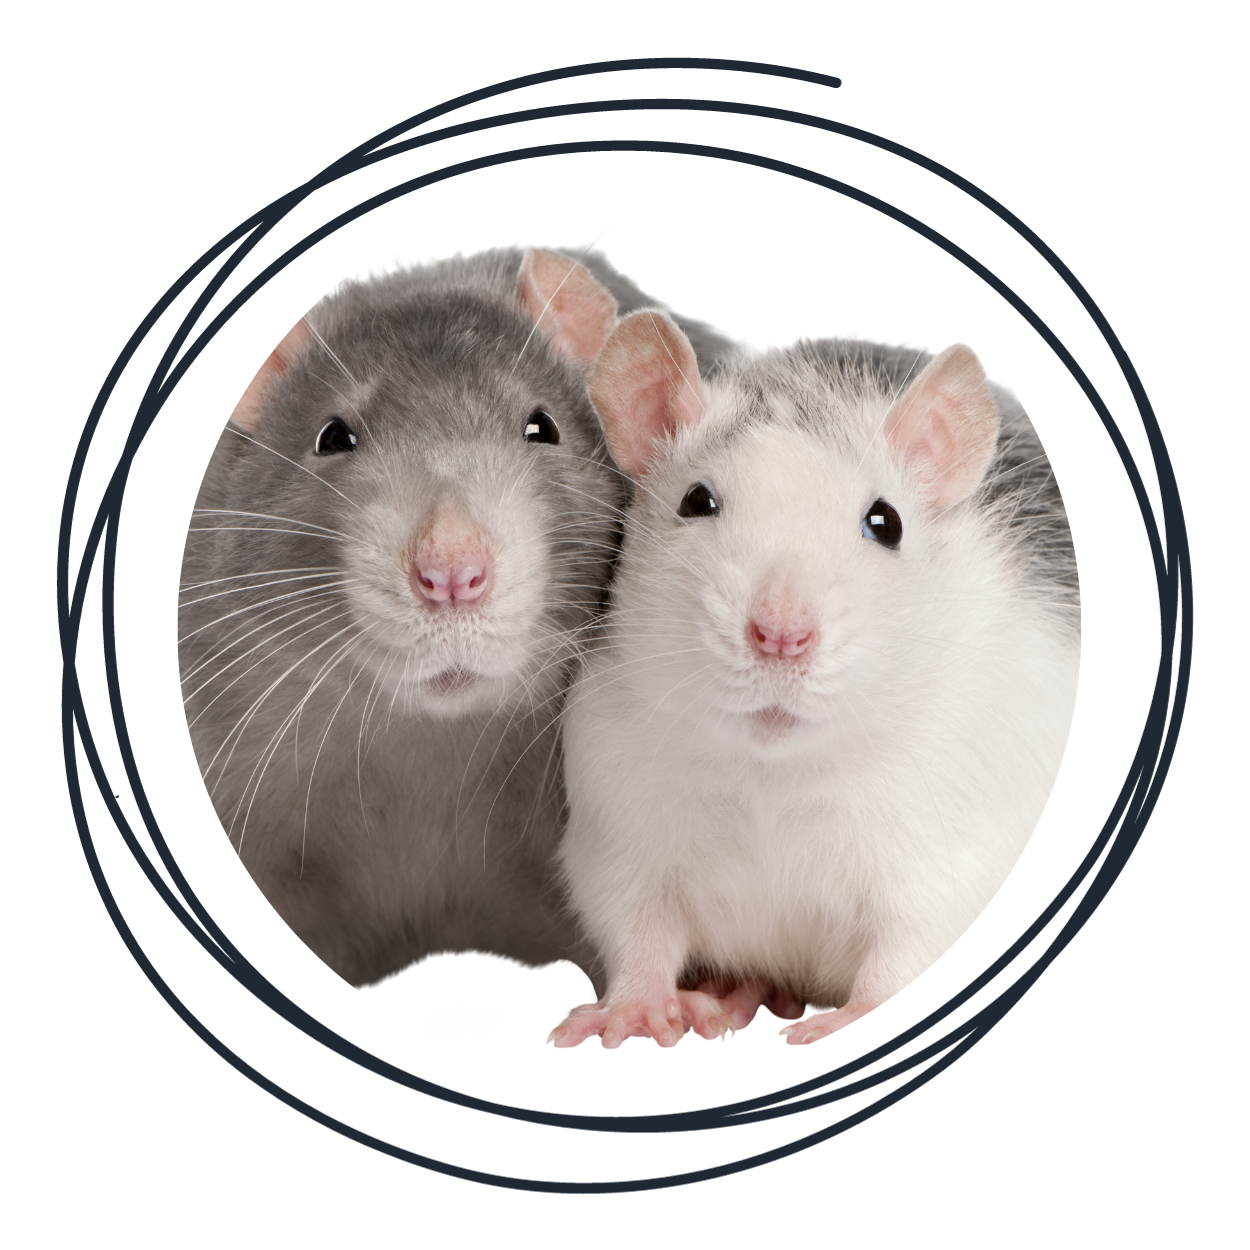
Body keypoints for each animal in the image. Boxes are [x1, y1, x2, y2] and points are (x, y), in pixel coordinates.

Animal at [549, 311, 1080, 1047]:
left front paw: (862, 1015)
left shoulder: (951, 822)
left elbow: (919, 933)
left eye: (885, 522)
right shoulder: (618, 801)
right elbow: (632, 915)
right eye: (696, 501)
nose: (782, 634)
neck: (777, 771)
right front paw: (636, 1002)